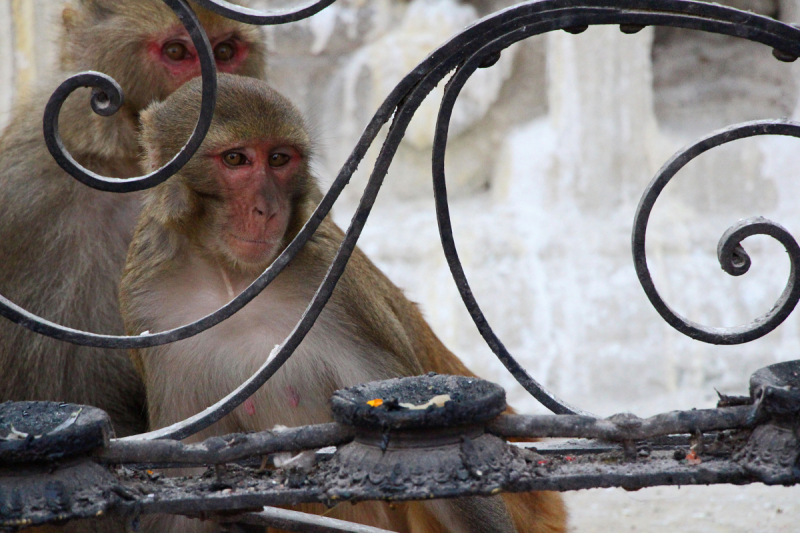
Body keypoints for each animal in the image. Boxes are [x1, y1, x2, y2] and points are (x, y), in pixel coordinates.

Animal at [122, 74, 564, 532]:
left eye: (279, 159)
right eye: (235, 159)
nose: (266, 209)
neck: (232, 277)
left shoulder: (334, 284)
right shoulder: (148, 303)